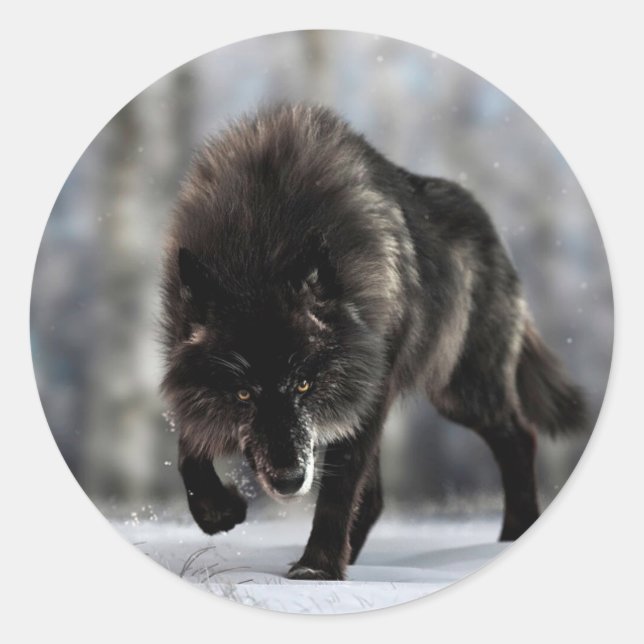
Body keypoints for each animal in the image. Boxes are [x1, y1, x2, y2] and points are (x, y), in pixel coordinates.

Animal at [160, 103, 586, 581]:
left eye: (304, 384)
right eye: (244, 394)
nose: (289, 481)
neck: (262, 240)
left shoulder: (367, 392)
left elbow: (339, 489)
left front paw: (316, 571)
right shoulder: (188, 377)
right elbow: (189, 449)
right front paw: (219, 511)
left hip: (460, 392)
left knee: (520, 437)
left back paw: (512, 537)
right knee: (379, 496)